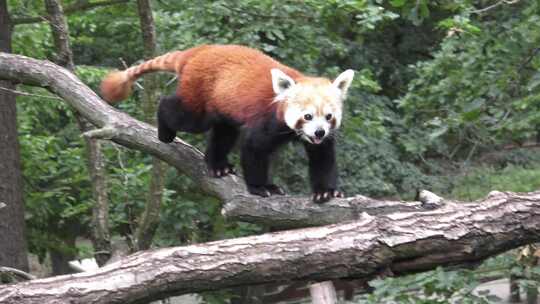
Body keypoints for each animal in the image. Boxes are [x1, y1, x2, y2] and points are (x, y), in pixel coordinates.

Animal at [100, 44, 354, 202]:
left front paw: (326, 192)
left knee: (224, 132)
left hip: (222, 104)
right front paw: (261, 187)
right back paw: (165, 130)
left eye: (329, 117)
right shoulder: (266, 120)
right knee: (183, 114)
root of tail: (200, 50)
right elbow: (253, 149)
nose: (319, 132)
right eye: (307, 116)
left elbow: (322, 159)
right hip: (199, 95)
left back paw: (218, 165)